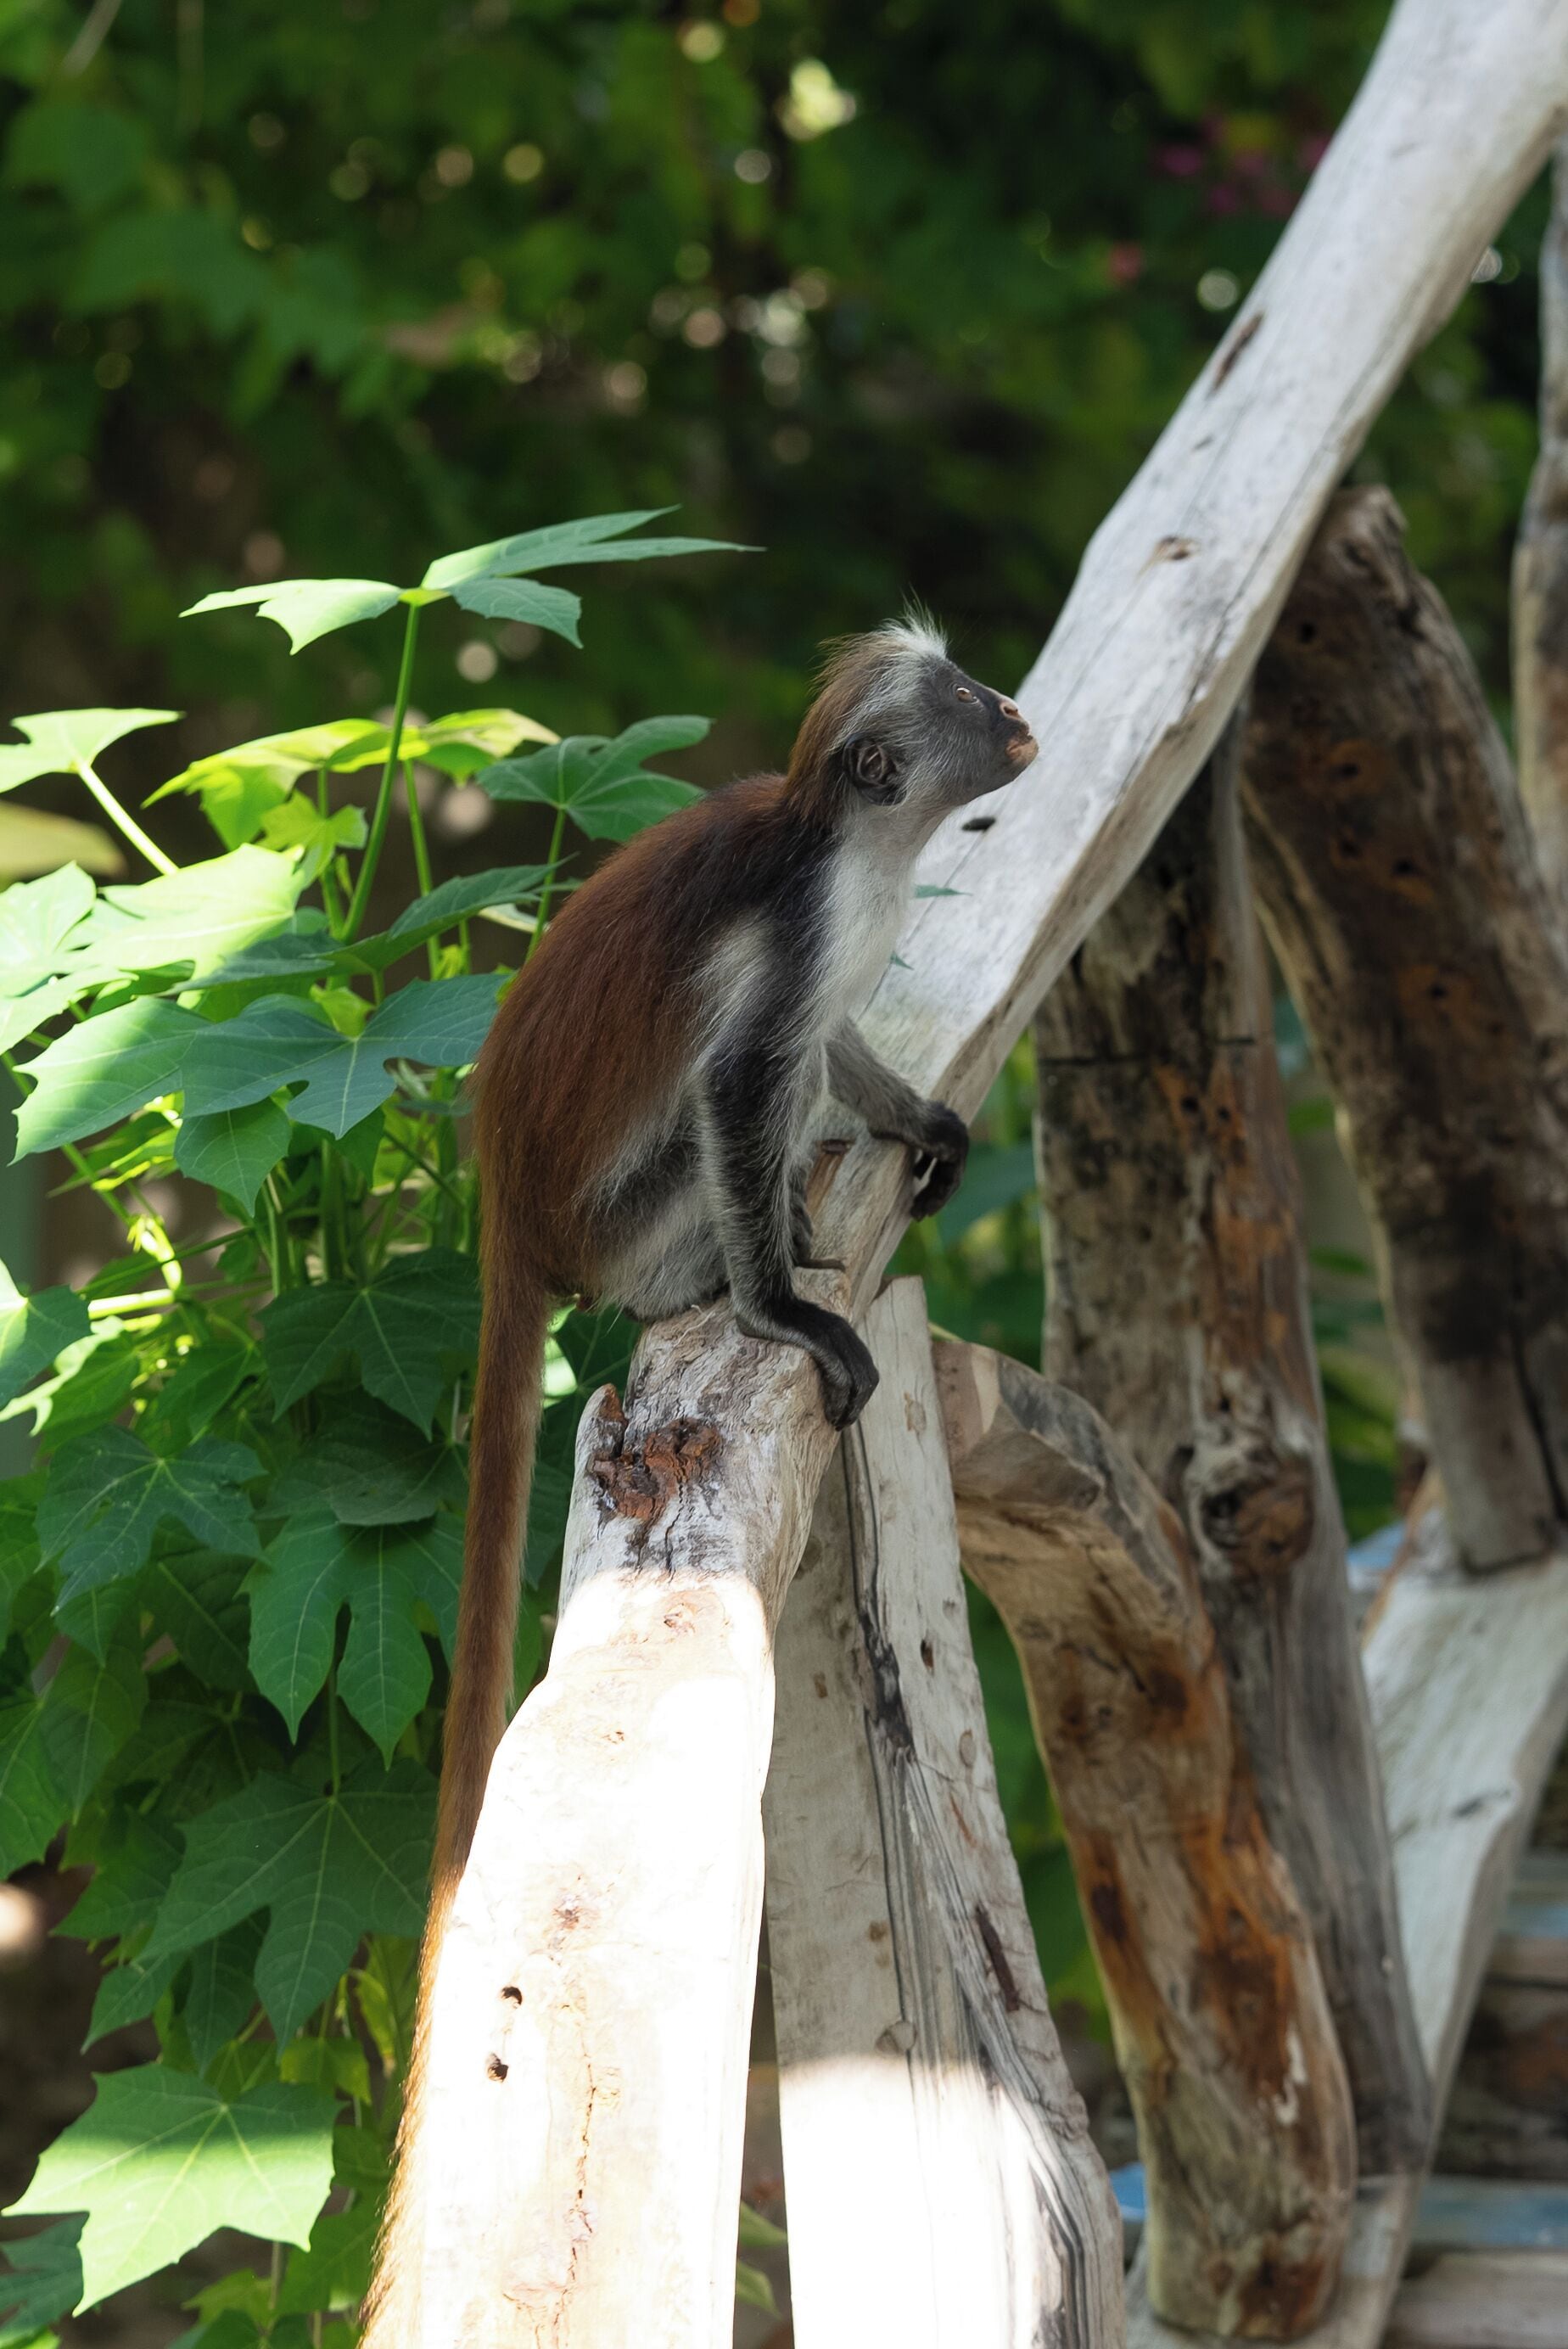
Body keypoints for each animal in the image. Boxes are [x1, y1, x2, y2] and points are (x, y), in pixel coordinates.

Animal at [360, 618, 1036, 2341]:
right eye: (966, 703)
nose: (1015, 712)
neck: (845, 842)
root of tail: (509, 1206)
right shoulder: (799, 934)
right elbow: (745, 1081)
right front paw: (784, 1310)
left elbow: (837, 1052)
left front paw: (912, 1119)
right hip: (631, 1212)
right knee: (732, 1118)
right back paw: (746, 1268)